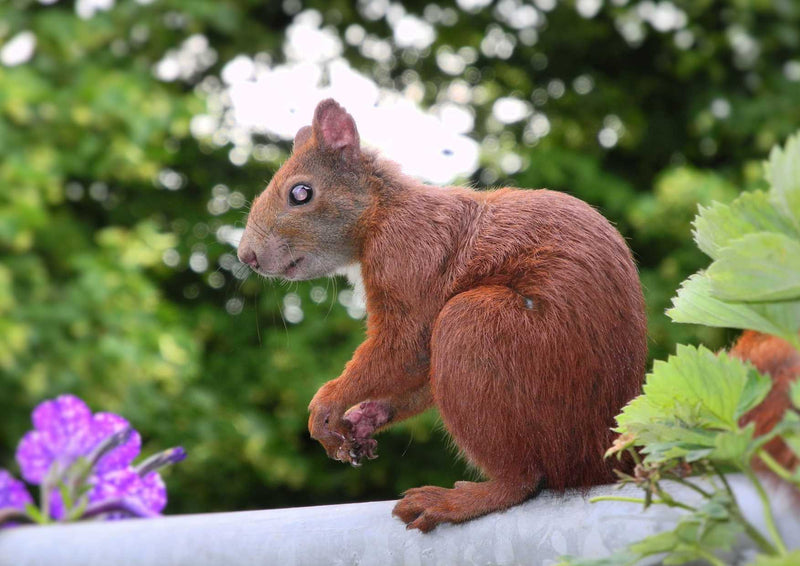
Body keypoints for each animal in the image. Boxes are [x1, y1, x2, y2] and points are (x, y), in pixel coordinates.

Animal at [239, 98, 648, 532]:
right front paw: (363, 419)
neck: (384, 212)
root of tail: (603, 456)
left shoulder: (408, 260)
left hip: (478, 328)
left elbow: (403, 349)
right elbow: (416, 373)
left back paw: (456, 501)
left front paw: (326, 406)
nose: (247, 256)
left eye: (301, 193)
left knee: (522, 481)